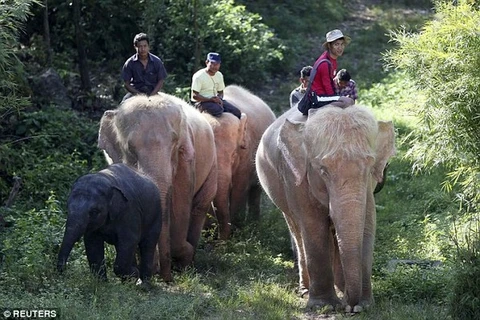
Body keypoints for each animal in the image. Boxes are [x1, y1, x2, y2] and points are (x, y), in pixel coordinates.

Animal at [98, 94, 218, 282]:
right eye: (130, 148)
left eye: (175, 143)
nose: (166, 277)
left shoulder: (186, 158)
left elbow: (180, 204)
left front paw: (180, 260)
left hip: (212, 165)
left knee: (199, 206)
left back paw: (189, 263)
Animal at [202, 85, 276, 240]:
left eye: (234, 156)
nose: (221, 239)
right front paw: (208, 234)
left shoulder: (246, 155)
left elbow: (239, 187)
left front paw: (236, 231)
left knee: (255, 190)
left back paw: (254, 224)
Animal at [256, 105, 396, 312]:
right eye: (323, 171)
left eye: (370, 168)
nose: (349, 305)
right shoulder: (296, 179)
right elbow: (314, 226)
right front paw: (326, 306)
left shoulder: (368, 190)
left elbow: (367, 226)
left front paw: (362, 306)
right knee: (297, 231)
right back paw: (306, 291)